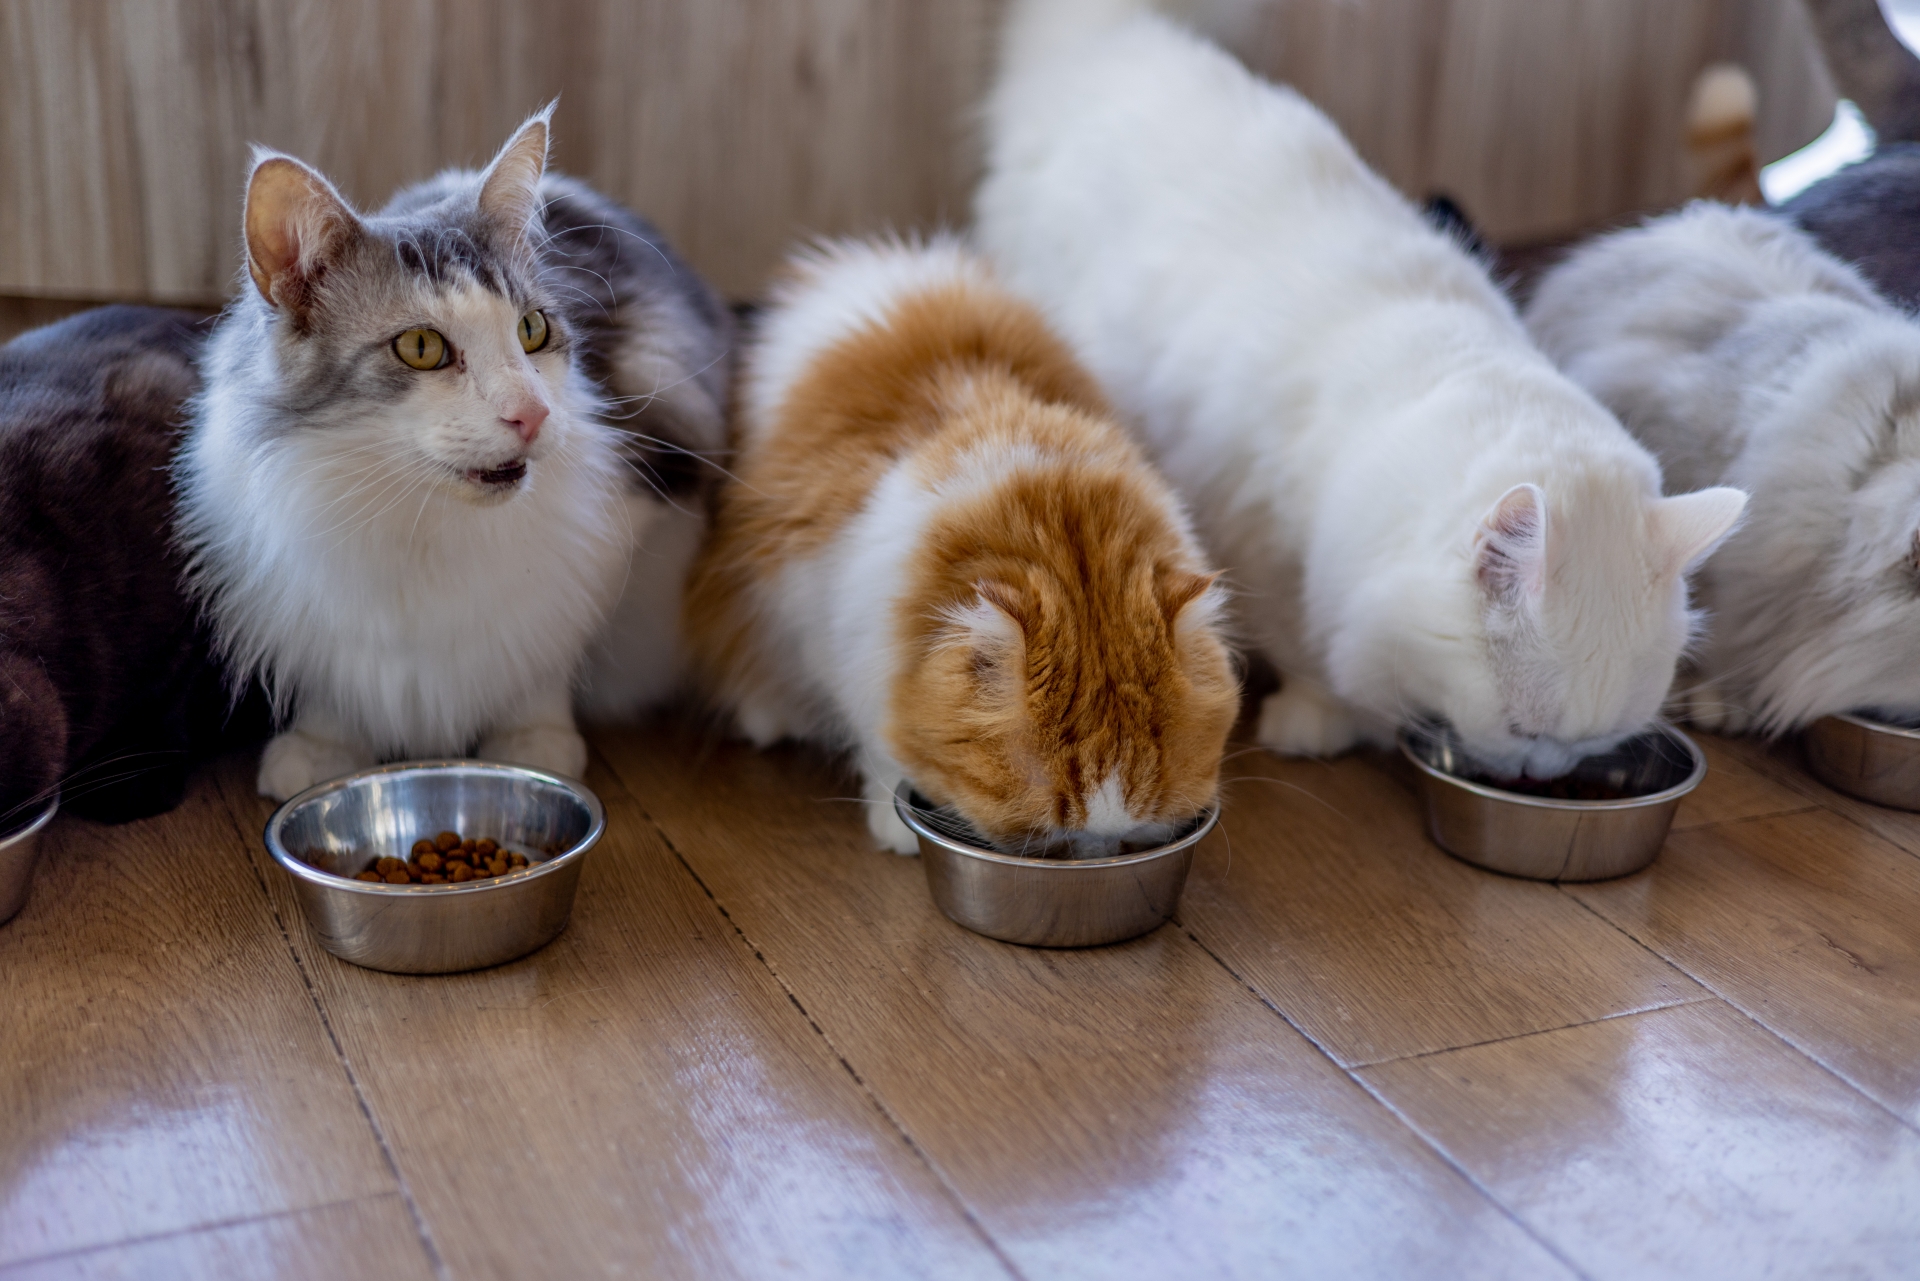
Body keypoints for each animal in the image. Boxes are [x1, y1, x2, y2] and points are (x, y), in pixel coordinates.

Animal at [180, 110, 725, 795]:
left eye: (531, 330)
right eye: (421, 347)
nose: (534, 413)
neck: (418, 521)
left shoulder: (612, 532)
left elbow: (546, 645)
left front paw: (533, 739)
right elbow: (336, 674)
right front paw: (323, 745)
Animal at [683, 235, 1236, 856]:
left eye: (1126, 834)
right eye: (1055, 834)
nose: (1094, 854)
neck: (1050, 501)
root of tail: (870, 258)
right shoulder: (828, 630)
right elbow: (878, 743)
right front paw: (894, 829)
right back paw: (770, 718)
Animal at [983, 0, 1751, 775]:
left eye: (1591, 742)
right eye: (1523, 729)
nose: (1543, 774)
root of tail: (1111, 34)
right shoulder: (1254, 534)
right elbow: (1302, 640)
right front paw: (1316, 719)